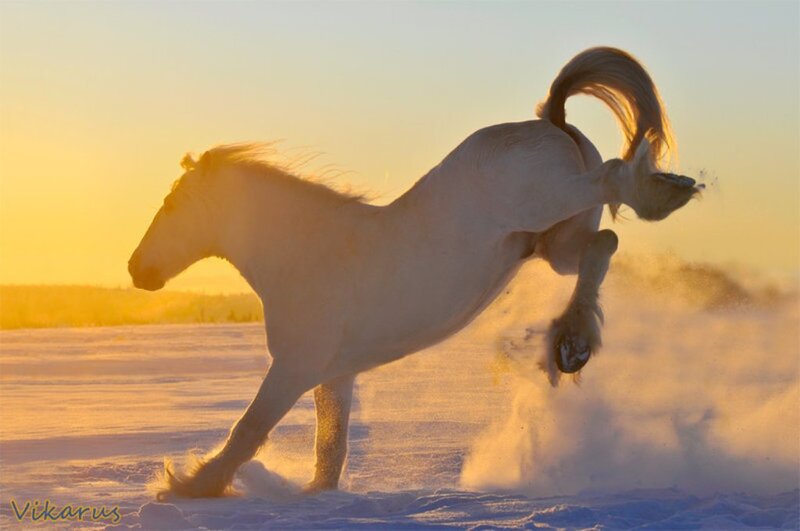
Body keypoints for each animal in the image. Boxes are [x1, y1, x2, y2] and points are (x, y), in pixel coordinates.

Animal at [129, 47, 701, 498]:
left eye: (172, 205)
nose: (138, 270)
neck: (307, 251)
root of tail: (550, 119)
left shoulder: (295, 366)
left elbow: (249, 429)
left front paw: (189, 485)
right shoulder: (334, 374)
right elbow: (329, 450)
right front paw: (314, 496)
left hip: (548, 206)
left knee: (613, 180)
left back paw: (664, 195)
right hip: (552, 243)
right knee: (603, 243)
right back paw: (571, 345)